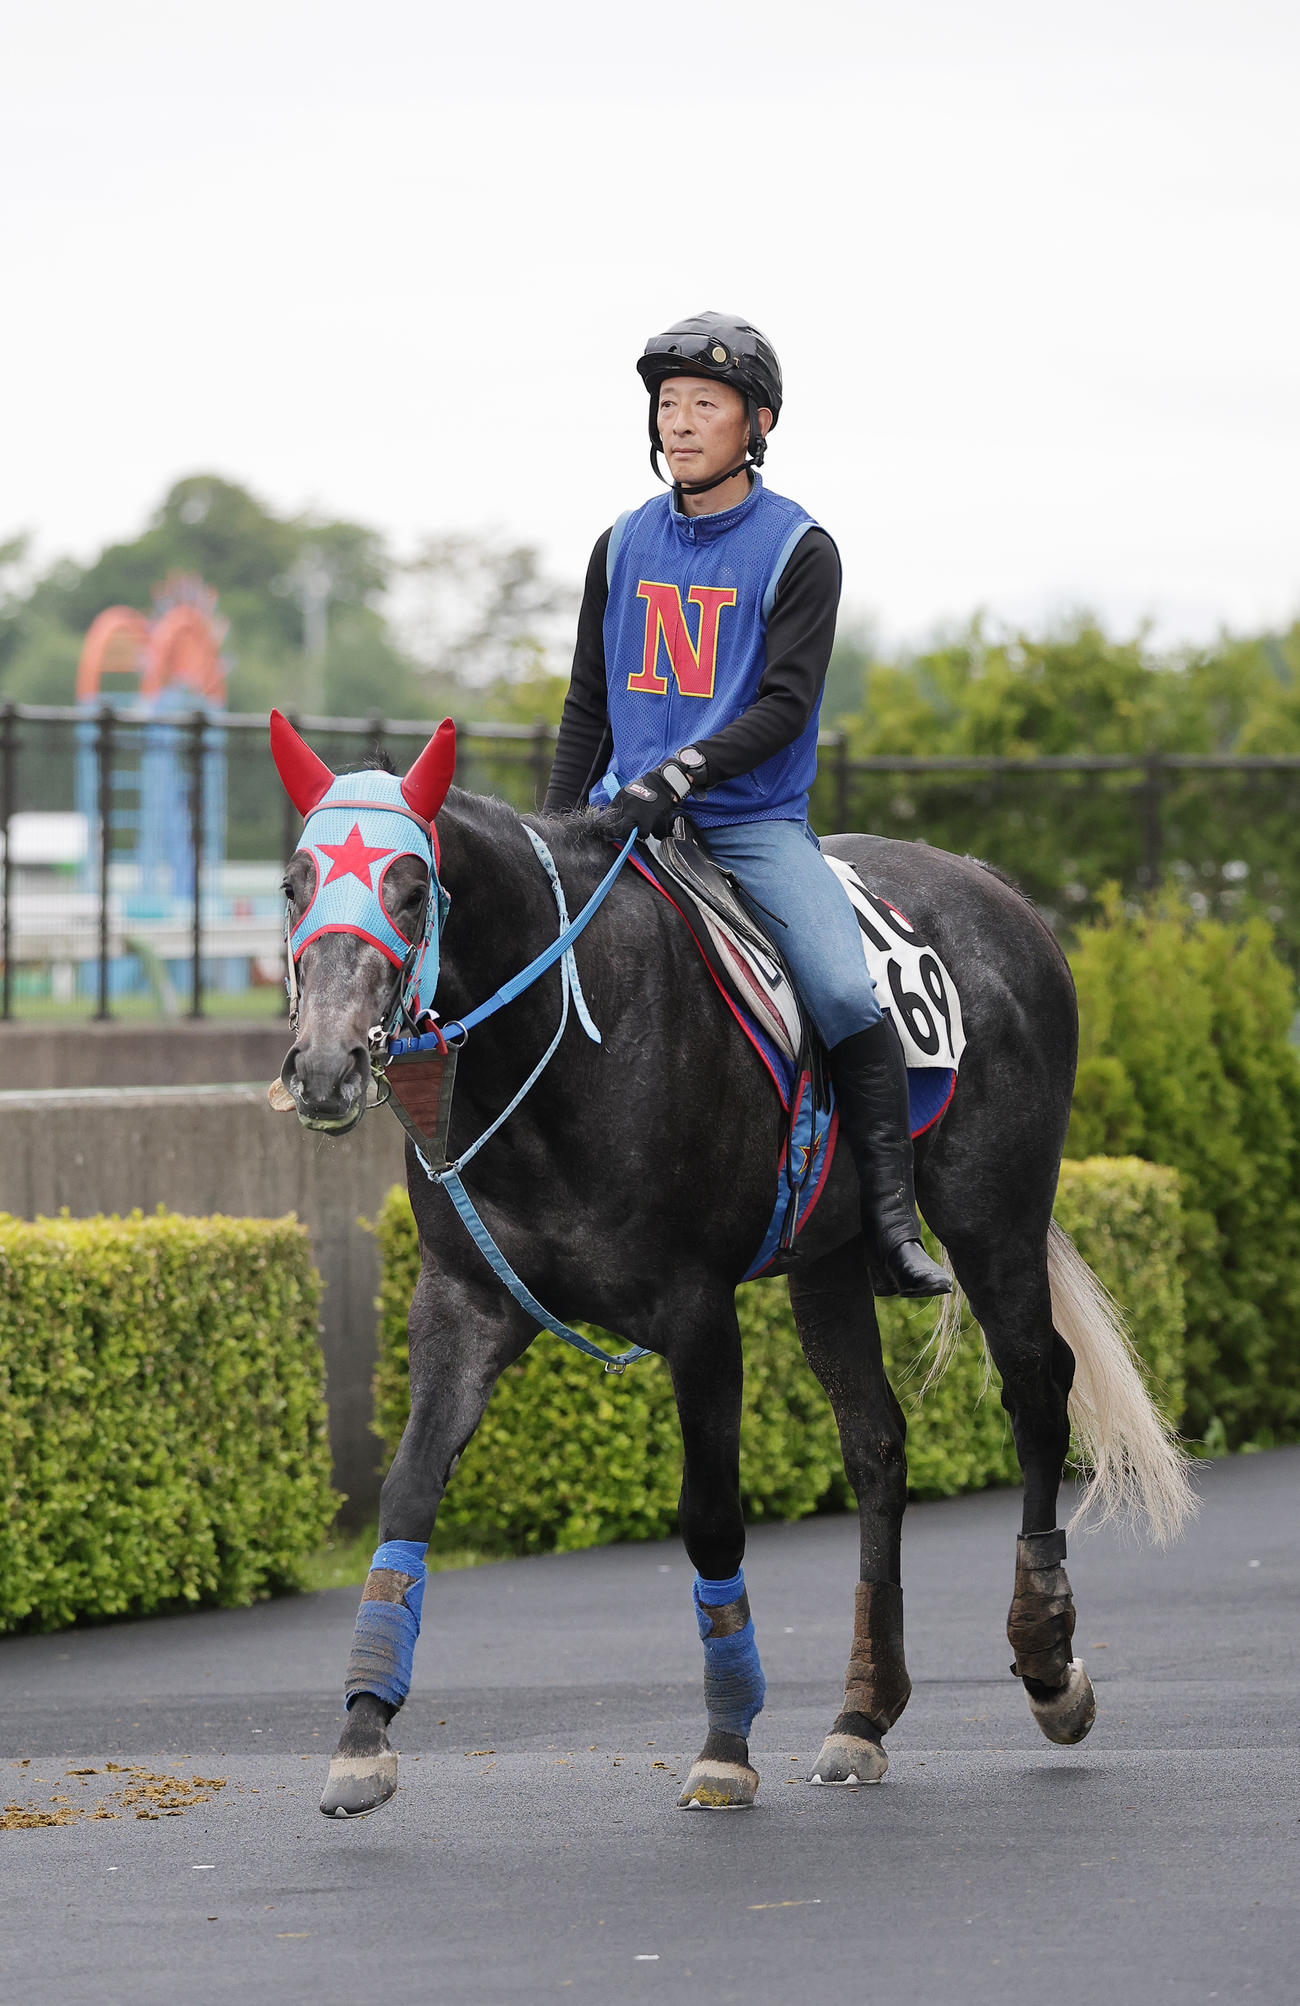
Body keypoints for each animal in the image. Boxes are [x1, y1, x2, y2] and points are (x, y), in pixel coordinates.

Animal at [269, 712, 1194, 1821]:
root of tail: (999, 891)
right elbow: (408, 1489)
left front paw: (724, 1741)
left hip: (993, 1217)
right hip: (829, 1260)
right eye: (293, 882)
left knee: (1038, 1393)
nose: (324, 1067)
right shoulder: (465, 1301)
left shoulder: (697, 1312)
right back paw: (861, 1712)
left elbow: (710, 1517)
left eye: (411, 885)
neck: (563, 1043)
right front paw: (363, 1730)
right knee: (877, 1445)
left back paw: (1049, 1664)